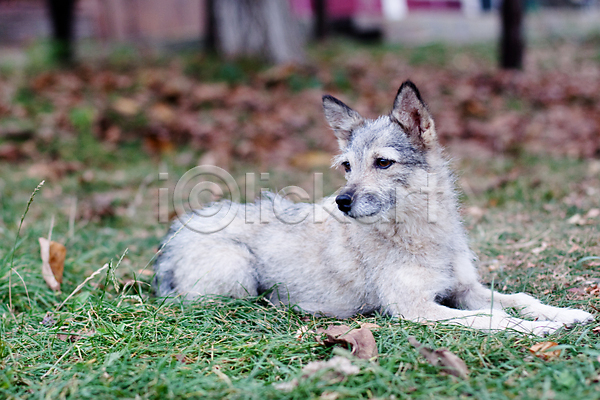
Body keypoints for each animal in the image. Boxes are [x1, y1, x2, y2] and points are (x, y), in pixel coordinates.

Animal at [152, 80, 592, 334]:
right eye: (347, 166)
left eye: (383, 162)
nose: (341, 201)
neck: (420, 234)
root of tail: (175, 233)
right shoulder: (415, 307)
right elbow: (489, 318)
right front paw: (530, 329)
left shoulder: (466, 289)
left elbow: (522, 300)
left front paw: (564, 314)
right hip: (237, 273)